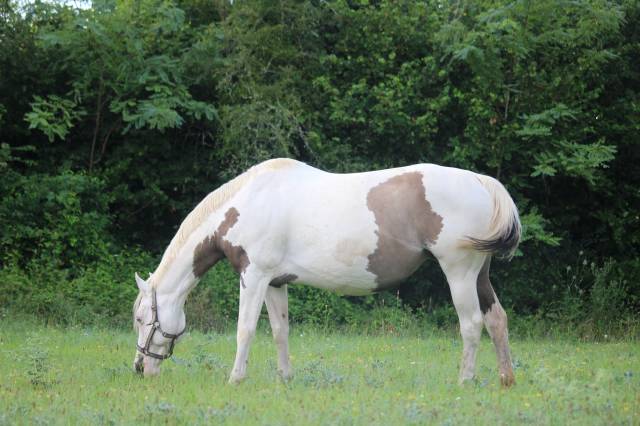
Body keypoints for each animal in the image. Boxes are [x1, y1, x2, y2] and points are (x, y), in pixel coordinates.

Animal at [134, 159, 520, 386]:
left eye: (140, 319)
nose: (140, 369)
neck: (246, 203)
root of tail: (480, 181)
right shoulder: (274, 283)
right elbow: (280, 331)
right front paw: (286, 378)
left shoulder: (253, 276)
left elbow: (245, 330)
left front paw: (235, 379)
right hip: (479, 275)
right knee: (496, 319)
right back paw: (506, 378)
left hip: (459, 273)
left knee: (471, 324)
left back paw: (465, 380)